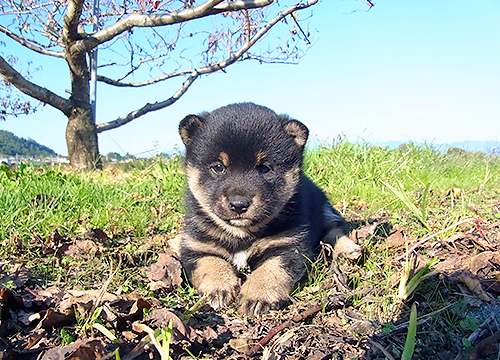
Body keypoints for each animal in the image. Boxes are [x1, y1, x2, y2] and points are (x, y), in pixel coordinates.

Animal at [179, 102, 360, 316]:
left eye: (264, 168)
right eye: (218, 167)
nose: (239, 204)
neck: (242, 233)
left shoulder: (289, 245)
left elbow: (271, 269)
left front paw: (258, 296)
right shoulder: (196, 245)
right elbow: (210, 264)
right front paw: (218, 288)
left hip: (325, 209)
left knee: (335, 231)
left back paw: (348, 250)